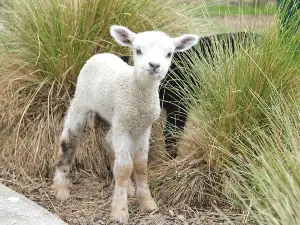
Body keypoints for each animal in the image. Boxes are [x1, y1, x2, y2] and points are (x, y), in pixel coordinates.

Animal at [52, 25, 198, 223]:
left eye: (169, 54)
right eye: (138, 50)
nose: (154, 65)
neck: (137, 92)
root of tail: (101, 54)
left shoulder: (143, 127)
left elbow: (140, 165)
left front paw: (147, 203)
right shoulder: (123, 124)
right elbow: (124, 167)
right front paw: (119, 212)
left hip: (115, 117)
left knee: (108, 141)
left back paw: (128, 186)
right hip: (82, 102)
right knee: (69, 140)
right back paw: (61, 189)